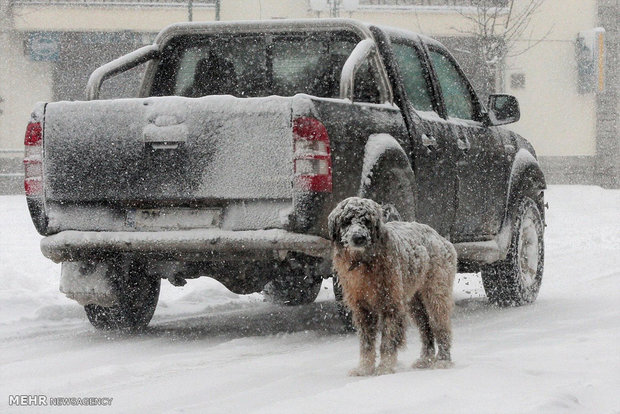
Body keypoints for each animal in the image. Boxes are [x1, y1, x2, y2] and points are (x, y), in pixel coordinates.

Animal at [330, 197, 456, 376]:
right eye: (346, 221)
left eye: (366, 221)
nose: (359, 237)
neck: (365, 263)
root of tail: (439, 237)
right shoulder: (362, 309)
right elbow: (367, 343)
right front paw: (364, 368)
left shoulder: (390, 304)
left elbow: (388, 341)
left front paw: (384, 368)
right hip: (415, 304)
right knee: (426, 329)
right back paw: (425, 359)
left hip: (436, 294)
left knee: (440, 326)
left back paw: (443, 360)